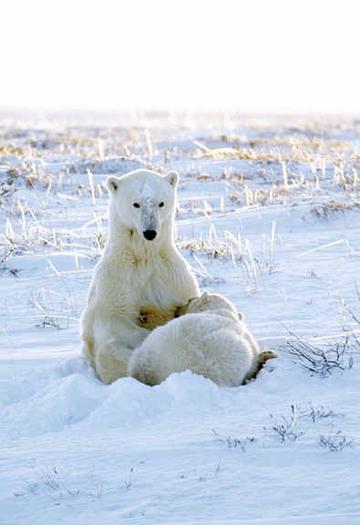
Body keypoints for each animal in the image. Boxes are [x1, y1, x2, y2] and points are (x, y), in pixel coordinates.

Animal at [79, 170, 201, 382]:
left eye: (161, 203)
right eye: (136, 204)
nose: (150, 232)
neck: (144, 257)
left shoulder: (173, 278)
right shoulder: (116, 282)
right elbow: (115, 321)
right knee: (107, 354)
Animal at [128, 292, 278, 386]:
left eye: (189, 300)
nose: (177, 308)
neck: (220, 311)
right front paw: (266, 354)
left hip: (142, 353)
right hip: (222, 359)